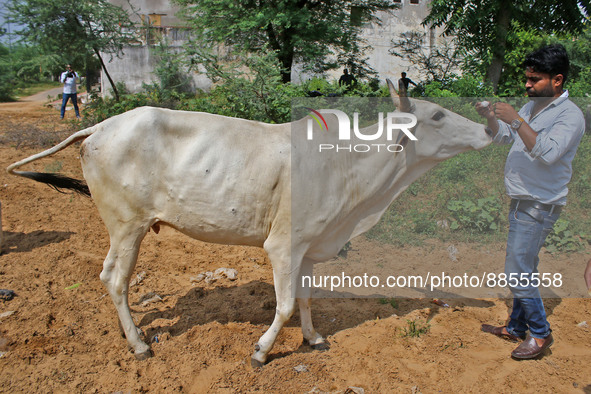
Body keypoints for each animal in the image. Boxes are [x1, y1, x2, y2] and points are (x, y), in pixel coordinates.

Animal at [8, 81, 490, 368]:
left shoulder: (310, 245)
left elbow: (307, 298)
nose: (488, 129)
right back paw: (140, 344)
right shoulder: (282, 245)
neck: (349, 166)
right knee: (114, 279)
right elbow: (285, 304)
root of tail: (100, 127)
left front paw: (313, 339)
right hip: (127, 226)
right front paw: (261, 351)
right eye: (438, 116)